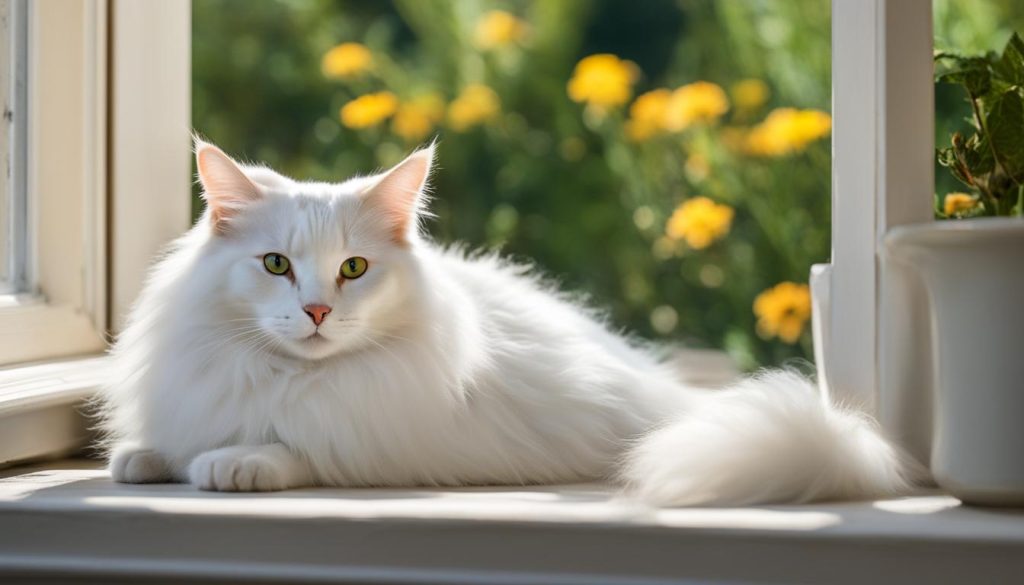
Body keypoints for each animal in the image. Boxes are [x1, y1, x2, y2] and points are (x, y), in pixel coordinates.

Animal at [99, 139, 917, 506]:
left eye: (354, 269)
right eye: (275, 265)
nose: (318, 310)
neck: (280, 374)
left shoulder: (381, 442)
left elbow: (294, 446)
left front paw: (234, 461)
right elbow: (171, 440)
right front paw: (146, 457)